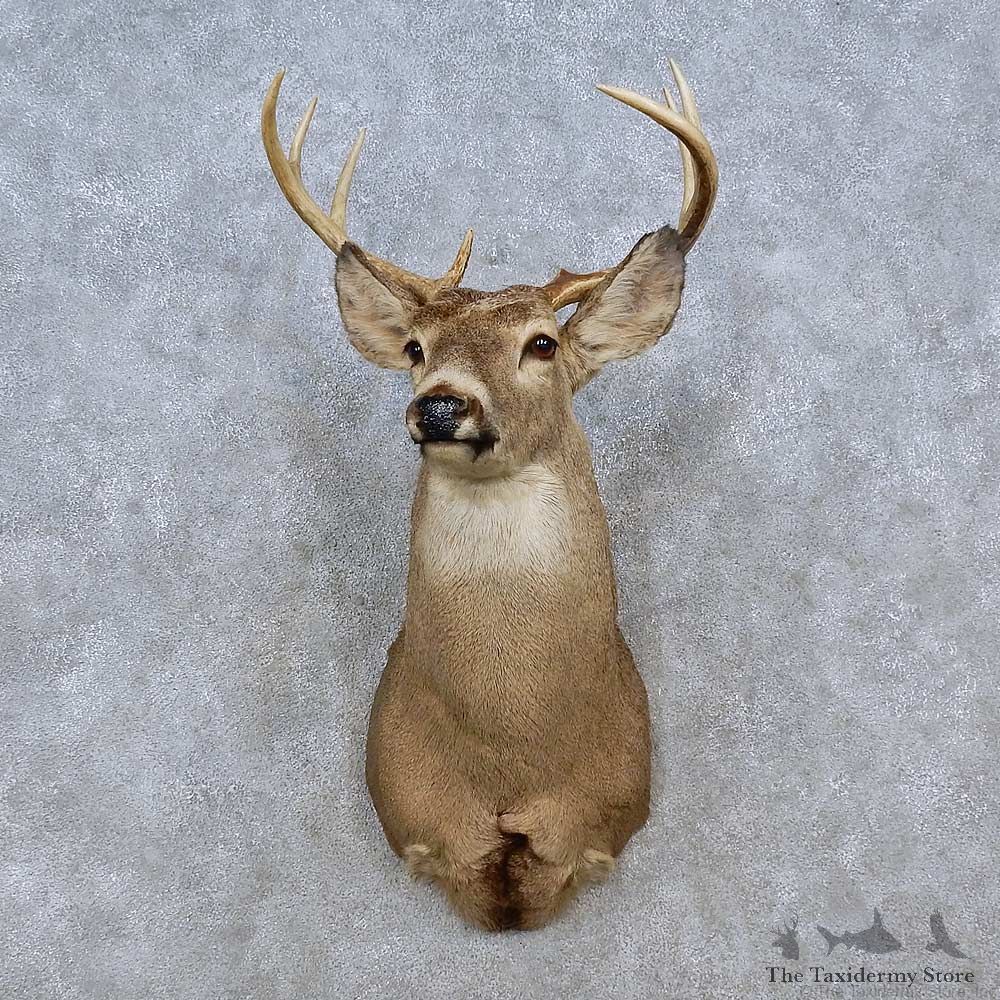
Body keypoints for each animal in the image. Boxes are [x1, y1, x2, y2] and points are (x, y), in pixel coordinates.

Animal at [261, 57, 717, 931]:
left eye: (541, 344)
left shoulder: (603, 815)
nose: (441, 405)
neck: (509, 753)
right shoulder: (416, 817)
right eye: (415, 347)